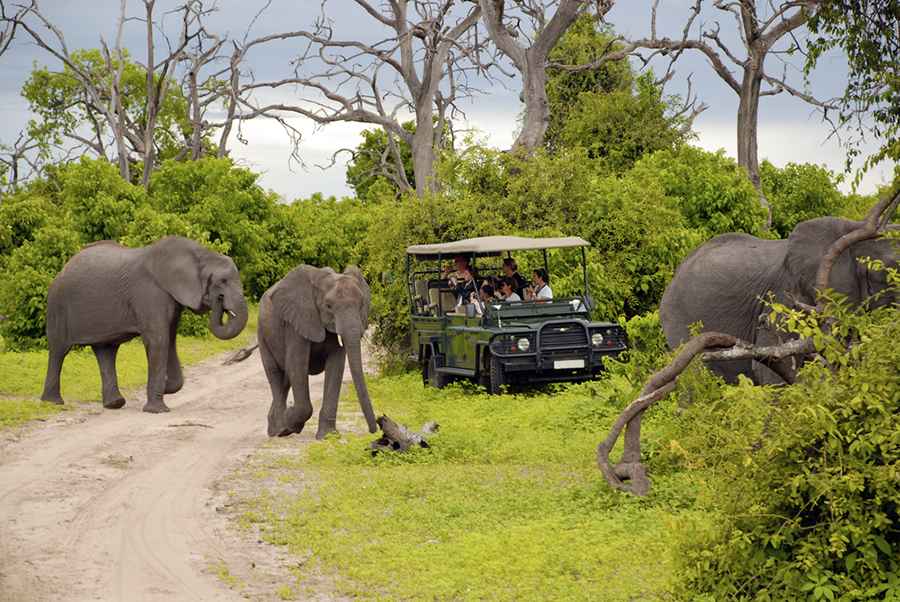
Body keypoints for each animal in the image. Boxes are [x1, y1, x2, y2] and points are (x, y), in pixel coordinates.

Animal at [40, 237, 248, 410]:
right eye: (222, 282)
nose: (220, 301)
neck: (201, 254)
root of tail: (63, 268)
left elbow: (169, 340)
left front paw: (165, 387)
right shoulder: (149, 293)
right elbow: (158, 341)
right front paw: (157, 409)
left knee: (106, 351)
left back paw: (114, 404)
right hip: (57, 305)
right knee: (59, 350)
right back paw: (53, 403)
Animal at [256, 262, 380, 436]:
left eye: (362, 304)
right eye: (328, 306)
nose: (374, 430)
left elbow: (336, 365)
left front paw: (327, 435)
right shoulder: (296, 321)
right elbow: (297, 364)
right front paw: (291, 422)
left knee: (285, 380)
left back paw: (275, 428)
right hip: (262, 334)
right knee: (275, 375)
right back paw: (281, 430)